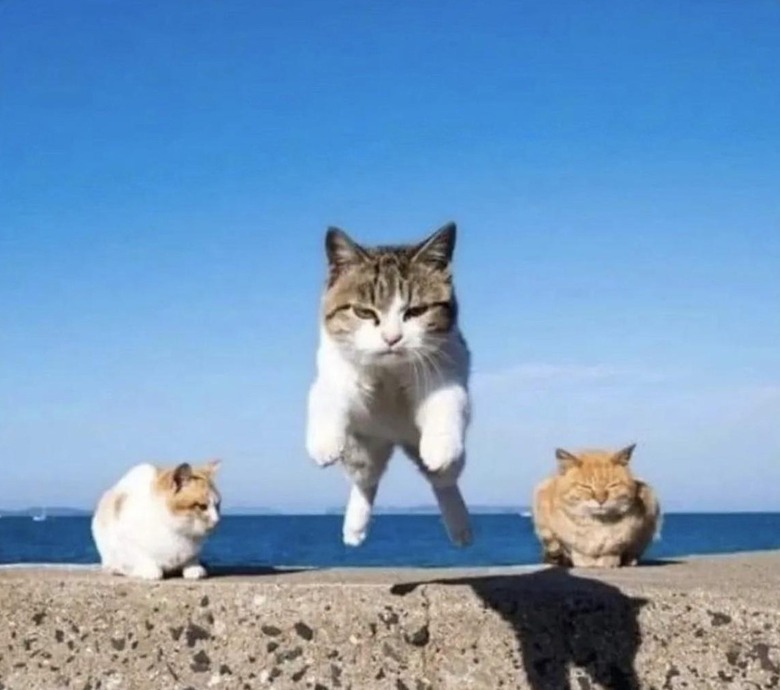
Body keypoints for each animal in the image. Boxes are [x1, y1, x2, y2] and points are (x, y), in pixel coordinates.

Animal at [90, 460, 222, 576]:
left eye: (217, 505)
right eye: (202, 506)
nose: (217, 520)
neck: (176, 529)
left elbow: (192, 559)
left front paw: (194, 567)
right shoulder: (126, 537)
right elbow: (143, 559)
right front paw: (149, 571)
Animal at [306, 223, 472, 544]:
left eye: (416, 311)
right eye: (364, 312)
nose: (392, 338)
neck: (389, 371)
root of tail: (395, 438)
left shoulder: (448, 363)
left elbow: (445, 400)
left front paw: (440, 445)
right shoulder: (336, 367)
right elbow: (326, 396)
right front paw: (323, 442)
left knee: (443, 481)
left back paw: (459, 525)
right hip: (360, 449)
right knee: (366, 480)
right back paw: (354, 527)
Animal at [532, 444, 660, 568]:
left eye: (612, 485)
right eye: (586, 486)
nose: (601, 500)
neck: (598, 522)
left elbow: (614, 549)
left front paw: (609, 561)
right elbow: (575, 549)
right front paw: (584, 561)